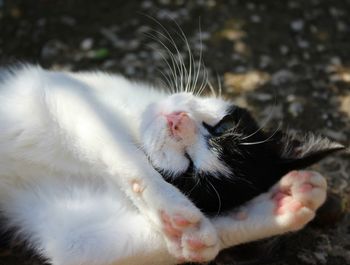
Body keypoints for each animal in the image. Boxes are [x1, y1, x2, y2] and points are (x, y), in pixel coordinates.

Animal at [0, 64, 342, 264]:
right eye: (222, 126)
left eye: (190, 170)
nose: (178, 121)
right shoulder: (55, 91)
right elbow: (120, 148)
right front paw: (171, 207)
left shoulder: (63, 222)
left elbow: (77, 244)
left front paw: (275, 207)